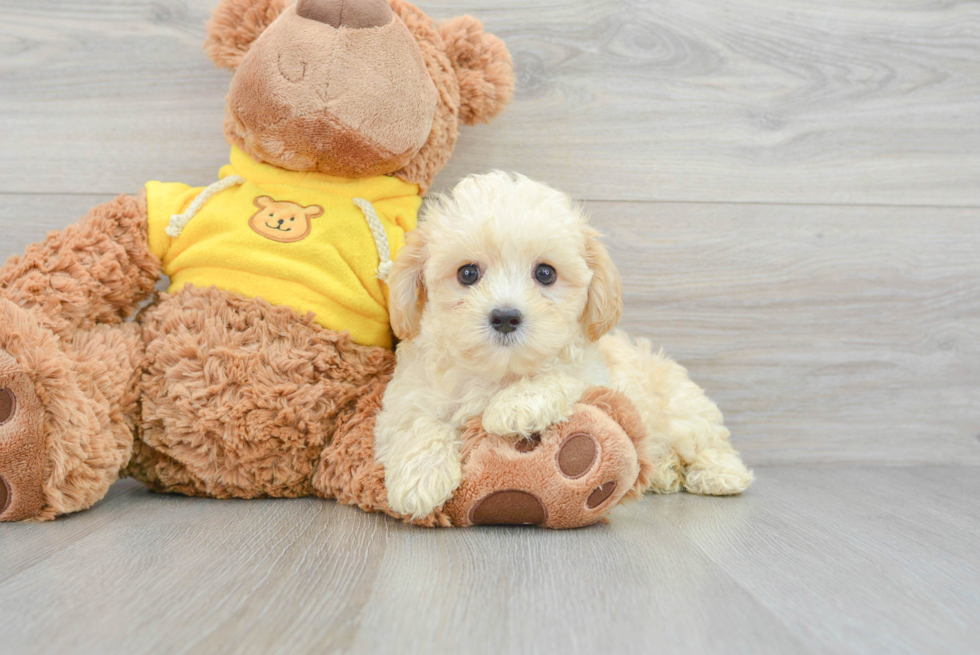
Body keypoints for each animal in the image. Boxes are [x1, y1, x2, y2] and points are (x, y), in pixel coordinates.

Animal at [374, 173, 752, 516]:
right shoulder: (407, 394)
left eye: (546, 274)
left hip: (680, 410)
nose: (506, 317)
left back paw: (719, 475)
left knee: (709, 441)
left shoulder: (595, 375)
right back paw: (665, 472)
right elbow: (418, 421)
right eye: (467, 274)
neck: (500, 370)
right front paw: (420, 480)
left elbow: (561, 377)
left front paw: (511, 407)